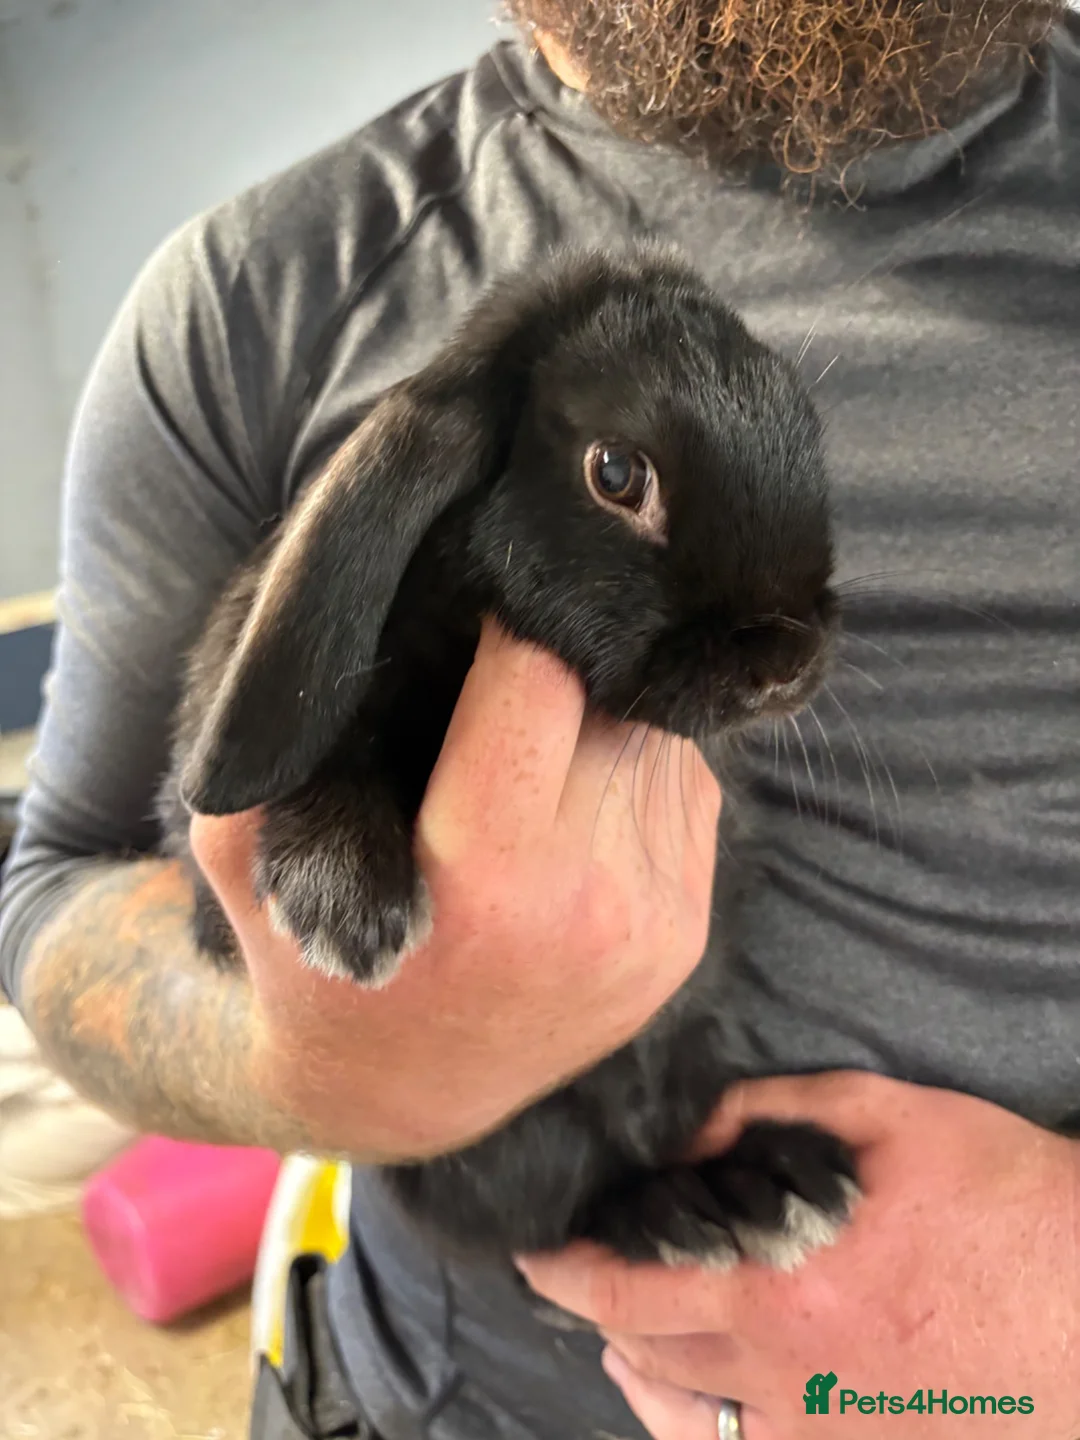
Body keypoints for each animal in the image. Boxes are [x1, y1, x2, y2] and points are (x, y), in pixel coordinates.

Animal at [159, 246, 859, 1284]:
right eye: (617, 472)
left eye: (806, 423)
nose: (790, 659)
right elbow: (340, 748)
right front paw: (346, 907)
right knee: (568, 1204)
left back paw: (772, 1188)